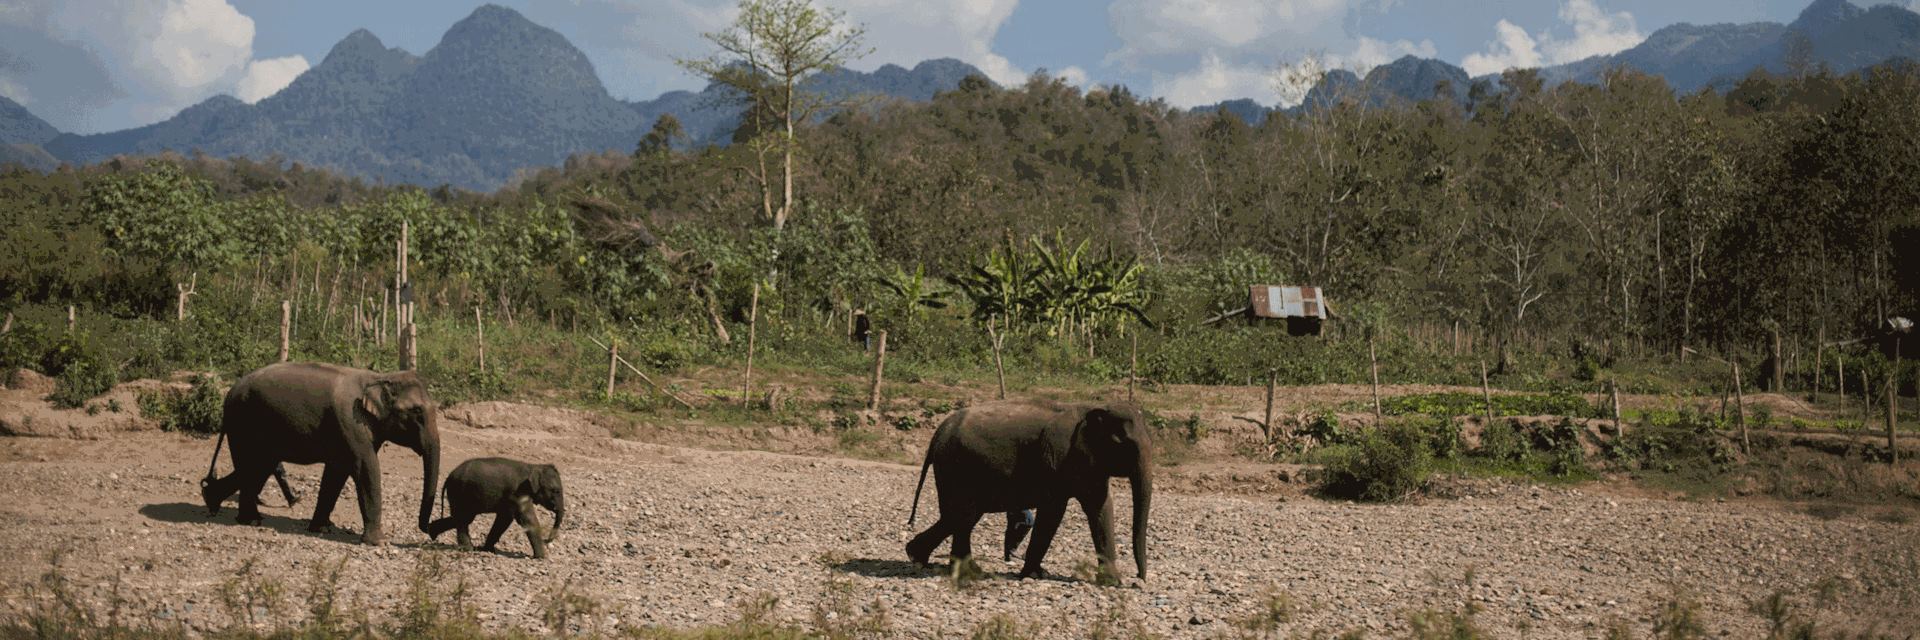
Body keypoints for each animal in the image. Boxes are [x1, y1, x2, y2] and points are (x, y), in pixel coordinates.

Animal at [202, 361, 441, 541]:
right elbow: (366, 467)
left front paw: (322, 528)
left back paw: (218, 502)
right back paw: (242, 515)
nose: (428, 529)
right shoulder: (350, 422)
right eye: (417, 412)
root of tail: (229, 392)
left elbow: (337, 472)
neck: (379, 377)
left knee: (257, 467)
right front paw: (378, 542)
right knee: (252, 466)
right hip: (243, 422)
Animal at [426, 455, 560, 557]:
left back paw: (432, 532)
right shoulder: (517, 493)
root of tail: (449, 477)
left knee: (464, 518)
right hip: (459, 492)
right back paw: (468, 549)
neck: (533, 466)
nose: (547, 541)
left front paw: (487, 549)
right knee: (463, 519)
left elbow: (504, 519)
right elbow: (527, 520)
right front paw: (542, 557)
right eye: (556, 491)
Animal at [902, 401, 1152, 580]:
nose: (1138, 579)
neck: (1090, 408)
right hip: (956, 468)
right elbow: (1053, 512)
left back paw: (922, 558)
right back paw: (960, 569)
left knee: (959, 517)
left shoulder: (1089, 463)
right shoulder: (1058, 461)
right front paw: (1034, 574)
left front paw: (1112, 582)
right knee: (961, 516)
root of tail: (938, 433)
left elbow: (1100, 508)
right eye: (1123, 442)